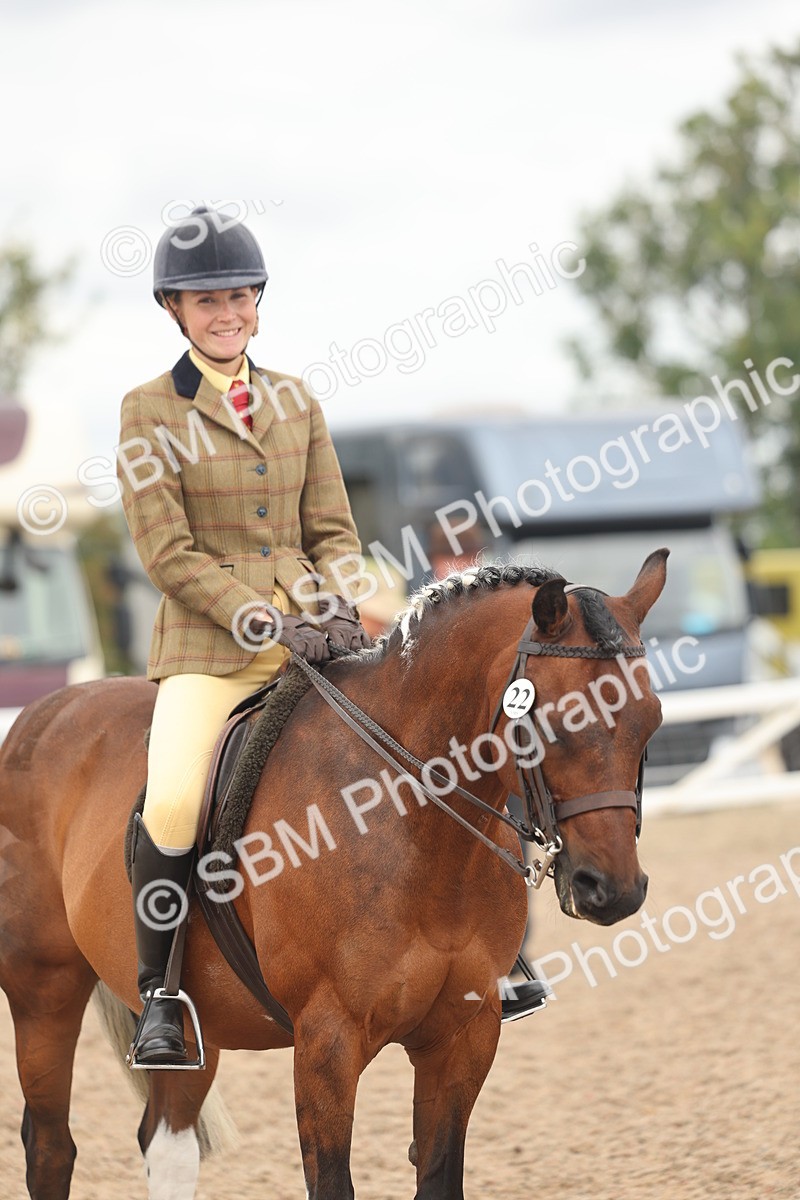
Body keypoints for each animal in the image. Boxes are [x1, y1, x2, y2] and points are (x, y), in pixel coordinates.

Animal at [0, 551, 668, 1200]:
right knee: (51, 1146)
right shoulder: (327, 1042)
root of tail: (42, 713)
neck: (408, 823)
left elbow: (439, 1174)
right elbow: (330, 1180)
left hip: (194, 1029)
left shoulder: (463, 1037)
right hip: (44, 991)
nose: (613, 890)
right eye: (555, 719)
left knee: (166, 1145)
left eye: (651, 718)